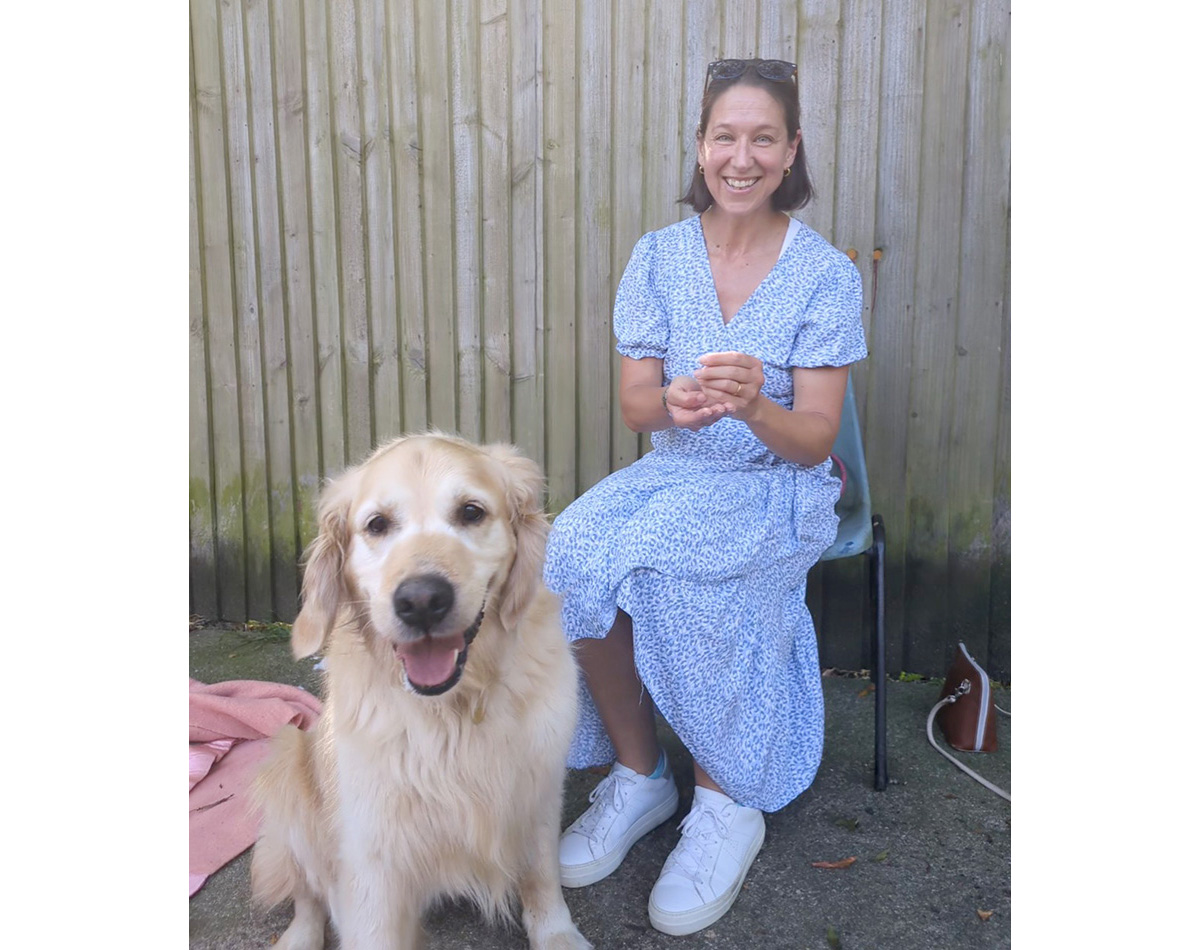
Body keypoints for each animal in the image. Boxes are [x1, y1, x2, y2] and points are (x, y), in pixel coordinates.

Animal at [252, 431, 590, 950]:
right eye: (377, 524)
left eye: (471, 512)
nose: (422, 601)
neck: (454, 706)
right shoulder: (371, 855)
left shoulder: (538, 791)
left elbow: (541, 874)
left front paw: (557, 934)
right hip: (289, 763)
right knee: (308, 892)